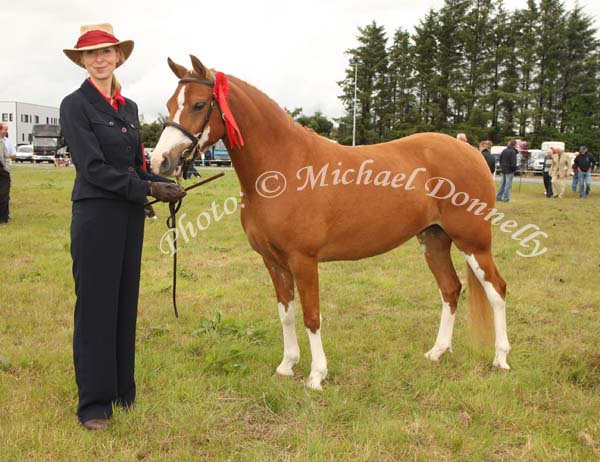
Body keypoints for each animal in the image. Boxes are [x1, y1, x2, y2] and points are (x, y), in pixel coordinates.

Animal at [150, 56, 510, 390]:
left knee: (497, 289)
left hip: (473, 242)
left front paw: (316, 376)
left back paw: (501, 359)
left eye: (198, 104)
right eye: (169, 104)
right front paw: (286, 366)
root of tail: (471, 151)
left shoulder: (303, 260)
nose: (160, 161)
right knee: (450, 289)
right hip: (433, 239)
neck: (284, 165)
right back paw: (437, 352)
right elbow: (286, 314)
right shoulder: (273, 261)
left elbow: (312, 315)